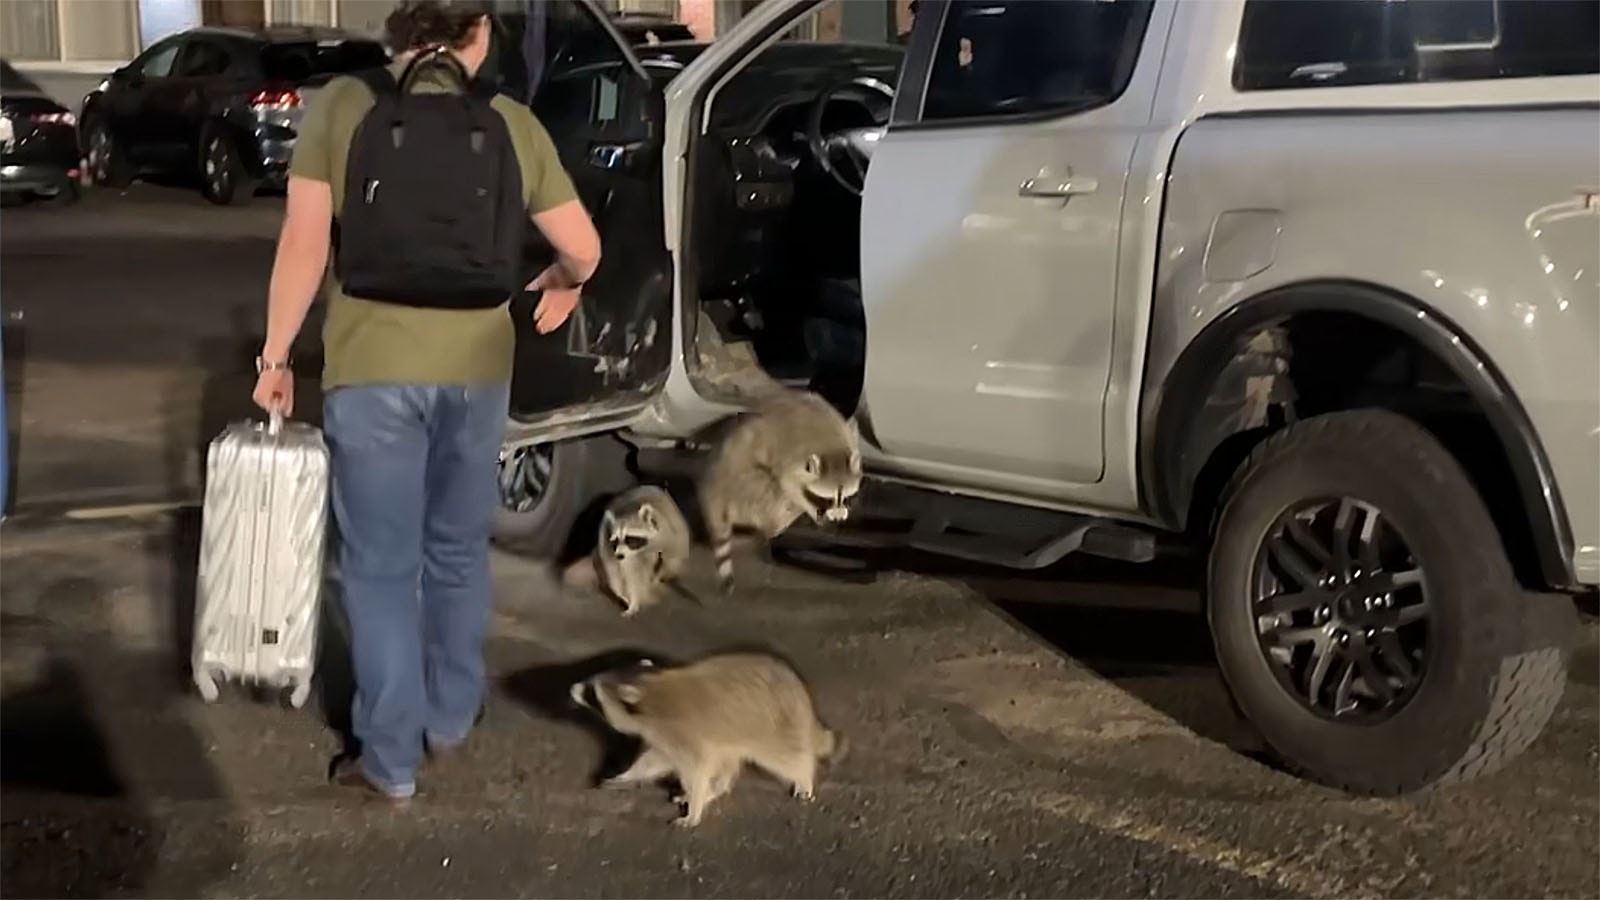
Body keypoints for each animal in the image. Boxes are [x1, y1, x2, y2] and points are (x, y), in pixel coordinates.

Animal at [563, 483, 694, 614]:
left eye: (629, 539)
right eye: (616, 540)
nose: (619, 556)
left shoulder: (665, 536)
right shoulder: (608, 544)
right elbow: (621, 572)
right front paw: (627, 598)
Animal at [566, 643, 844, 826]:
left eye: (592, 693)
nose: (572, 688)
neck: (651, 691)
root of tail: (801, 694)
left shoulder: (682, 734)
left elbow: (696, 770)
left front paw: (696, 806)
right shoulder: (669, 737)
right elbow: (656, 760)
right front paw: (626, 775)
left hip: (771, 727)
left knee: (787, 757)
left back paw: (803, 776)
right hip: (733, 736)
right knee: (728, 765)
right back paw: (716, 789)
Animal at [694, 387, 857, 592]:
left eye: (846, 498)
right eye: (826, 499)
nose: (838, 518)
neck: (831, 448)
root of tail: (713, 490)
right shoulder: (786, 456)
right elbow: (789, 488)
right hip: (741, 485)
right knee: (771, 492)